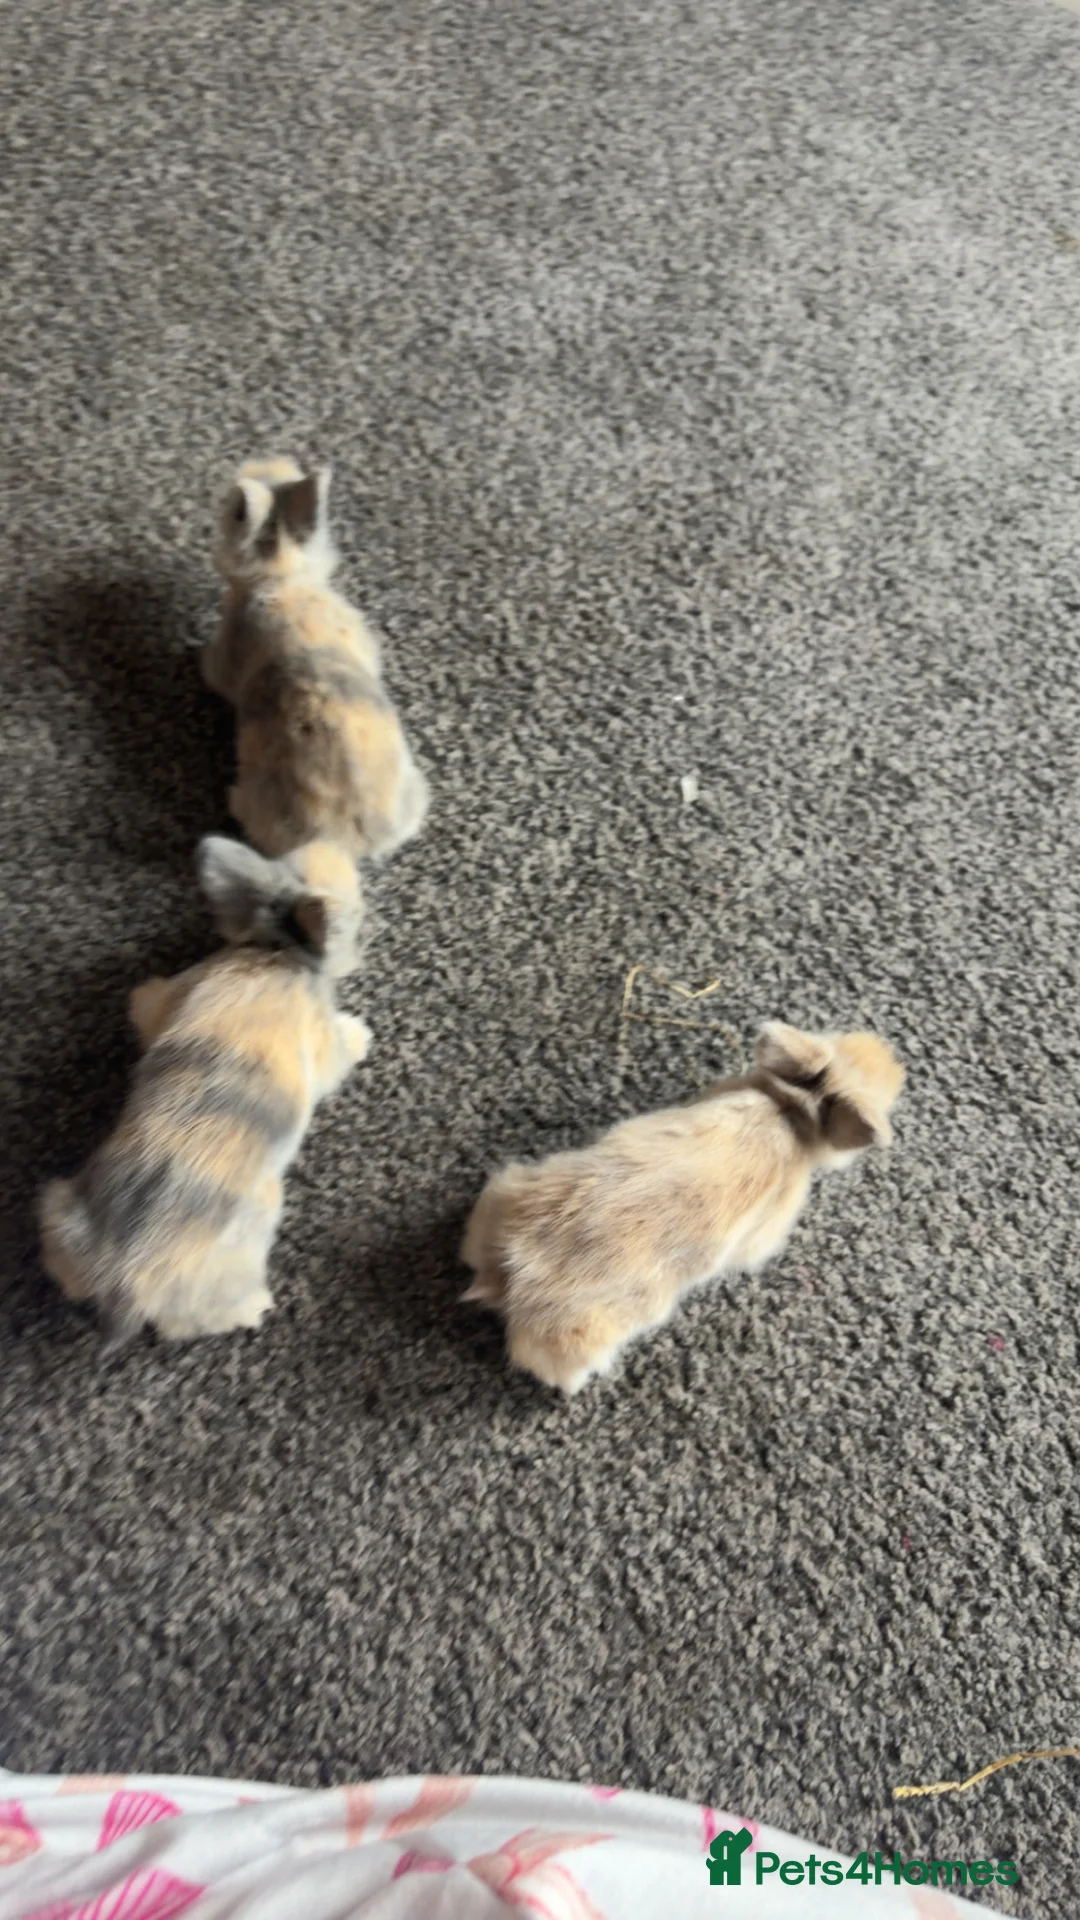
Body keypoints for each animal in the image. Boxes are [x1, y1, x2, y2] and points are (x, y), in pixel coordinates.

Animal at [39, 835, 373, 1344]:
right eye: (355, 921)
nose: (335, 845)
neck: (272, 951)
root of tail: (124, 1282)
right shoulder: (320, 1040)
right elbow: (338, 1050)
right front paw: (361, 1036)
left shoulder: (170, 996)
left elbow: (147, 1004)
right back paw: (254, 1308)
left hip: (59, 1213)